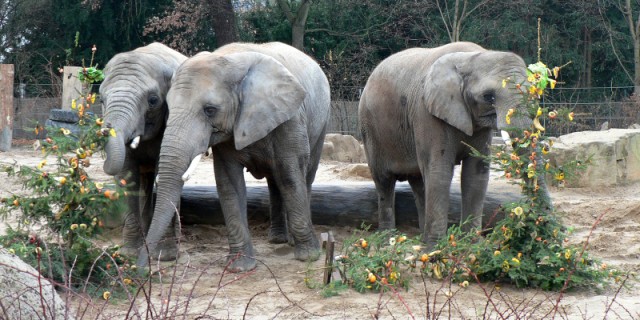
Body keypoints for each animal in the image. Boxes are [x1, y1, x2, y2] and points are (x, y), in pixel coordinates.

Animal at [138, 42, 332, 272]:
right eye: (167, 108)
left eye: (210, 110)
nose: (141, 268)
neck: (231, 60)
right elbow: (228, 183)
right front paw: (240, 266)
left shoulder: (290, 119)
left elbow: (290, 176)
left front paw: (308, 256)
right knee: (274, 181)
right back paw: (277, 239)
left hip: (321, 122)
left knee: (304, 175)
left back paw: (293, 242)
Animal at [358, 41, 552, 249]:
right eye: (488, 97)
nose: (544, 231)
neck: (471, 57)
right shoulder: (426, 113)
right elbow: (440, 172)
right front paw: (436, 248)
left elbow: (475, 173)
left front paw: (472, 244)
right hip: (371, 130)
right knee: (384, 181)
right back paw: (387, 239)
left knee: (418, 181)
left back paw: (421, 237)